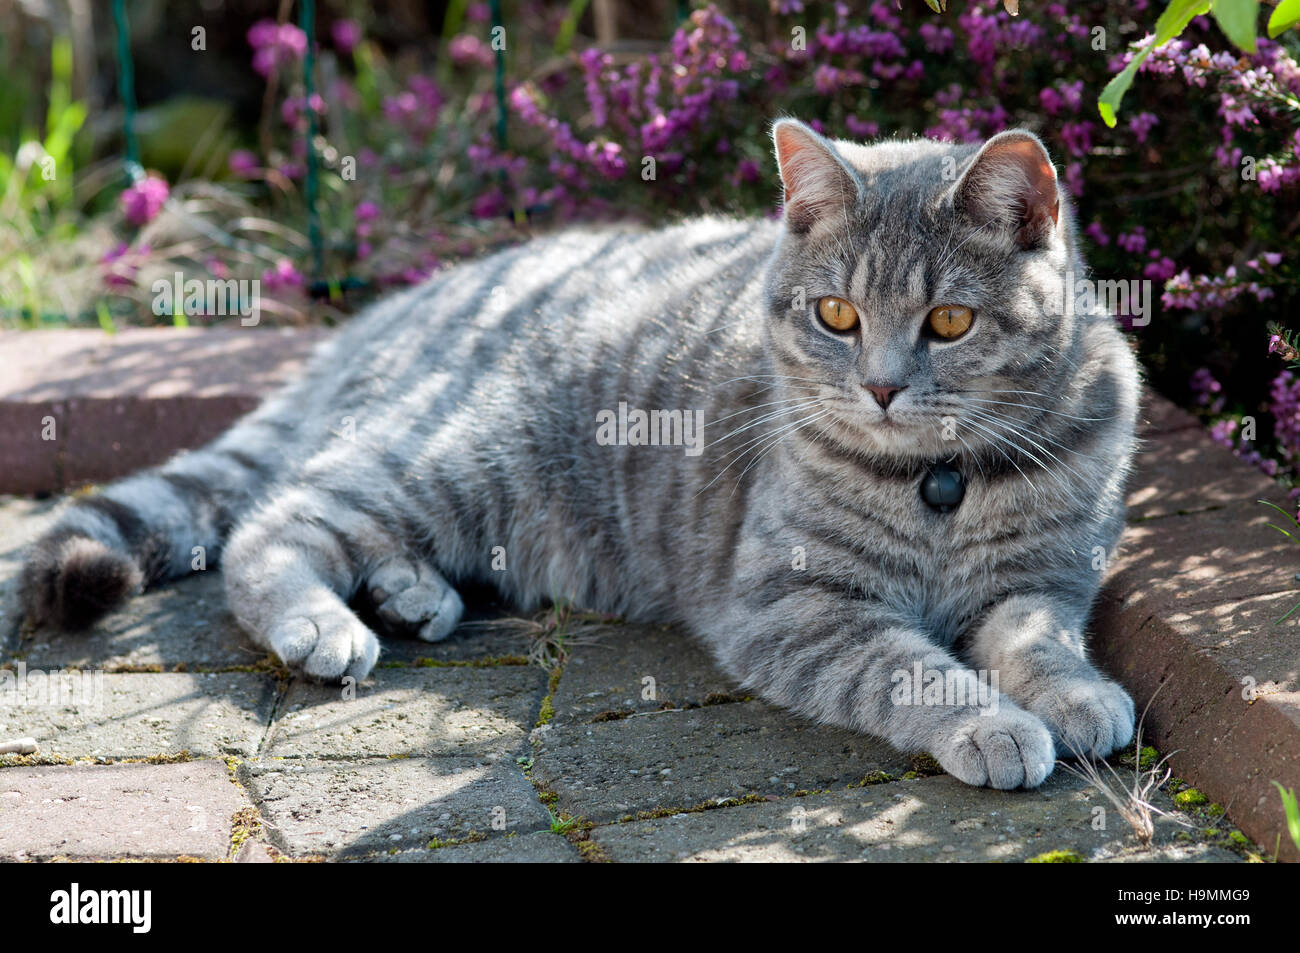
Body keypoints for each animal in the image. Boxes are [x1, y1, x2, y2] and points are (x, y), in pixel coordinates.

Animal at [17, 118, 1138, 790]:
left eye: (948, 320)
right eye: (835, 314)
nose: (881, 385)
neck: (939, 485)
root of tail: (404, 302)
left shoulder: (1044, 577)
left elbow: (1038, 639)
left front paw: (1075, 694)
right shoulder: (792, 602)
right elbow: (911, 668)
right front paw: (991, 725)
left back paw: (413, 594)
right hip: (460, 458)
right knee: (275, 521)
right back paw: (323, 623)